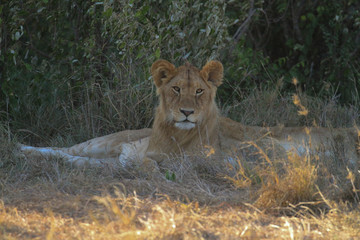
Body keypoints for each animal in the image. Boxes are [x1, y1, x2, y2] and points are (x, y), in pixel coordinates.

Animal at [21, 59, 358, 178]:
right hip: (105, 141)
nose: (186, 112)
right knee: (67, 150)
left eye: (198, 91)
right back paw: (20, 149)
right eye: (176, 89)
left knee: (74, 158)